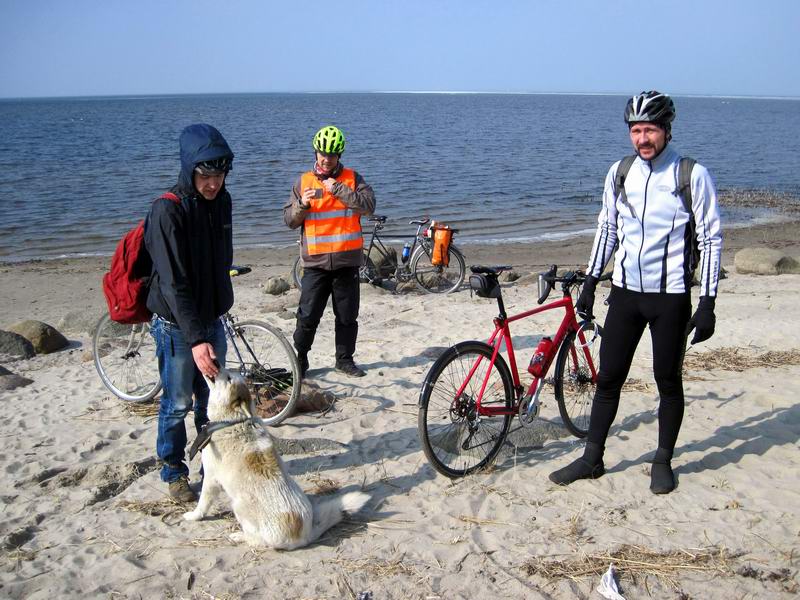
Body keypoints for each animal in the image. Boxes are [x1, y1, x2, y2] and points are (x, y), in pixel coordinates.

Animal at [184, 366, 368, 548]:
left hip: (239, 506)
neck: (232, 422)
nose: (215, 362)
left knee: (257, 540)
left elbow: (203, 503)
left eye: (229, 378)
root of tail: (305, 535)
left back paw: (238, 536)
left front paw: (194, 516)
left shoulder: (211, 479)